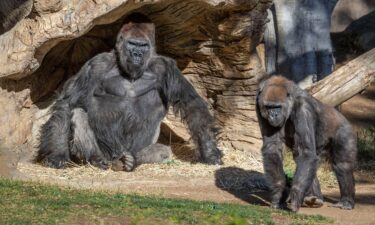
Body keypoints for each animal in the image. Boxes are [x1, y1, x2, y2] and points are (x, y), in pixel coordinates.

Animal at [36, 14, 222, 171]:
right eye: (132, 44)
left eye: (143, 46)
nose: (137, 54)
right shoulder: (96, 64)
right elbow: (68, 104)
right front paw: (57, 153)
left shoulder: (166, 67)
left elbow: (190, 103)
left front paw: (209, 151)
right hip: (108, 153)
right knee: (79, 114)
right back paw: (97, 159)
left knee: (163, 151)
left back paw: (132, 160)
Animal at [258, 76, 356, 212]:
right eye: (268, 107)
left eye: (277, 107)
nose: (273, 115)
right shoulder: (258, 102)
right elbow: (273, 148)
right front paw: (278, 193)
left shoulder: (303, 108)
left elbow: (305, 152)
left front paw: (296, 195)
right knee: (306, 160)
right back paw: (314, 197)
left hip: (345, 130)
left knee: (342, 165)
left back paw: (346, 201)